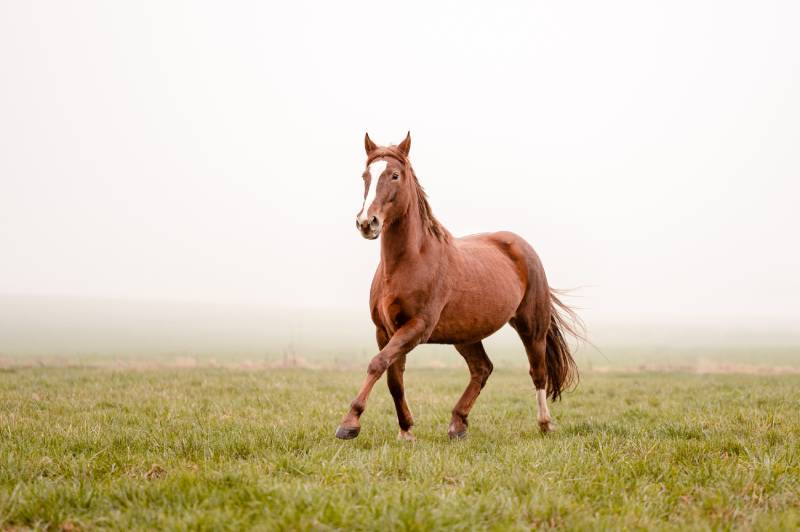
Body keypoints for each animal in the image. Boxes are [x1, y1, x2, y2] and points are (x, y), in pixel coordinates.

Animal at [334, 132, 580, 440]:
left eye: (394, 175)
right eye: (365, 175)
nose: (367, 222)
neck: (410, 261)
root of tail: (521, 246)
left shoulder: (417, 327)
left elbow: (377, 364)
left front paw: (349, 423)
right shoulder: (384, 330)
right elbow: (393, 378)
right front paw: (406, 431)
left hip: (531, 327)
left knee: (538, 372)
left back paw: (545, 424)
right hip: (466, 334)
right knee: (482, 369)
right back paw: (458, 424)